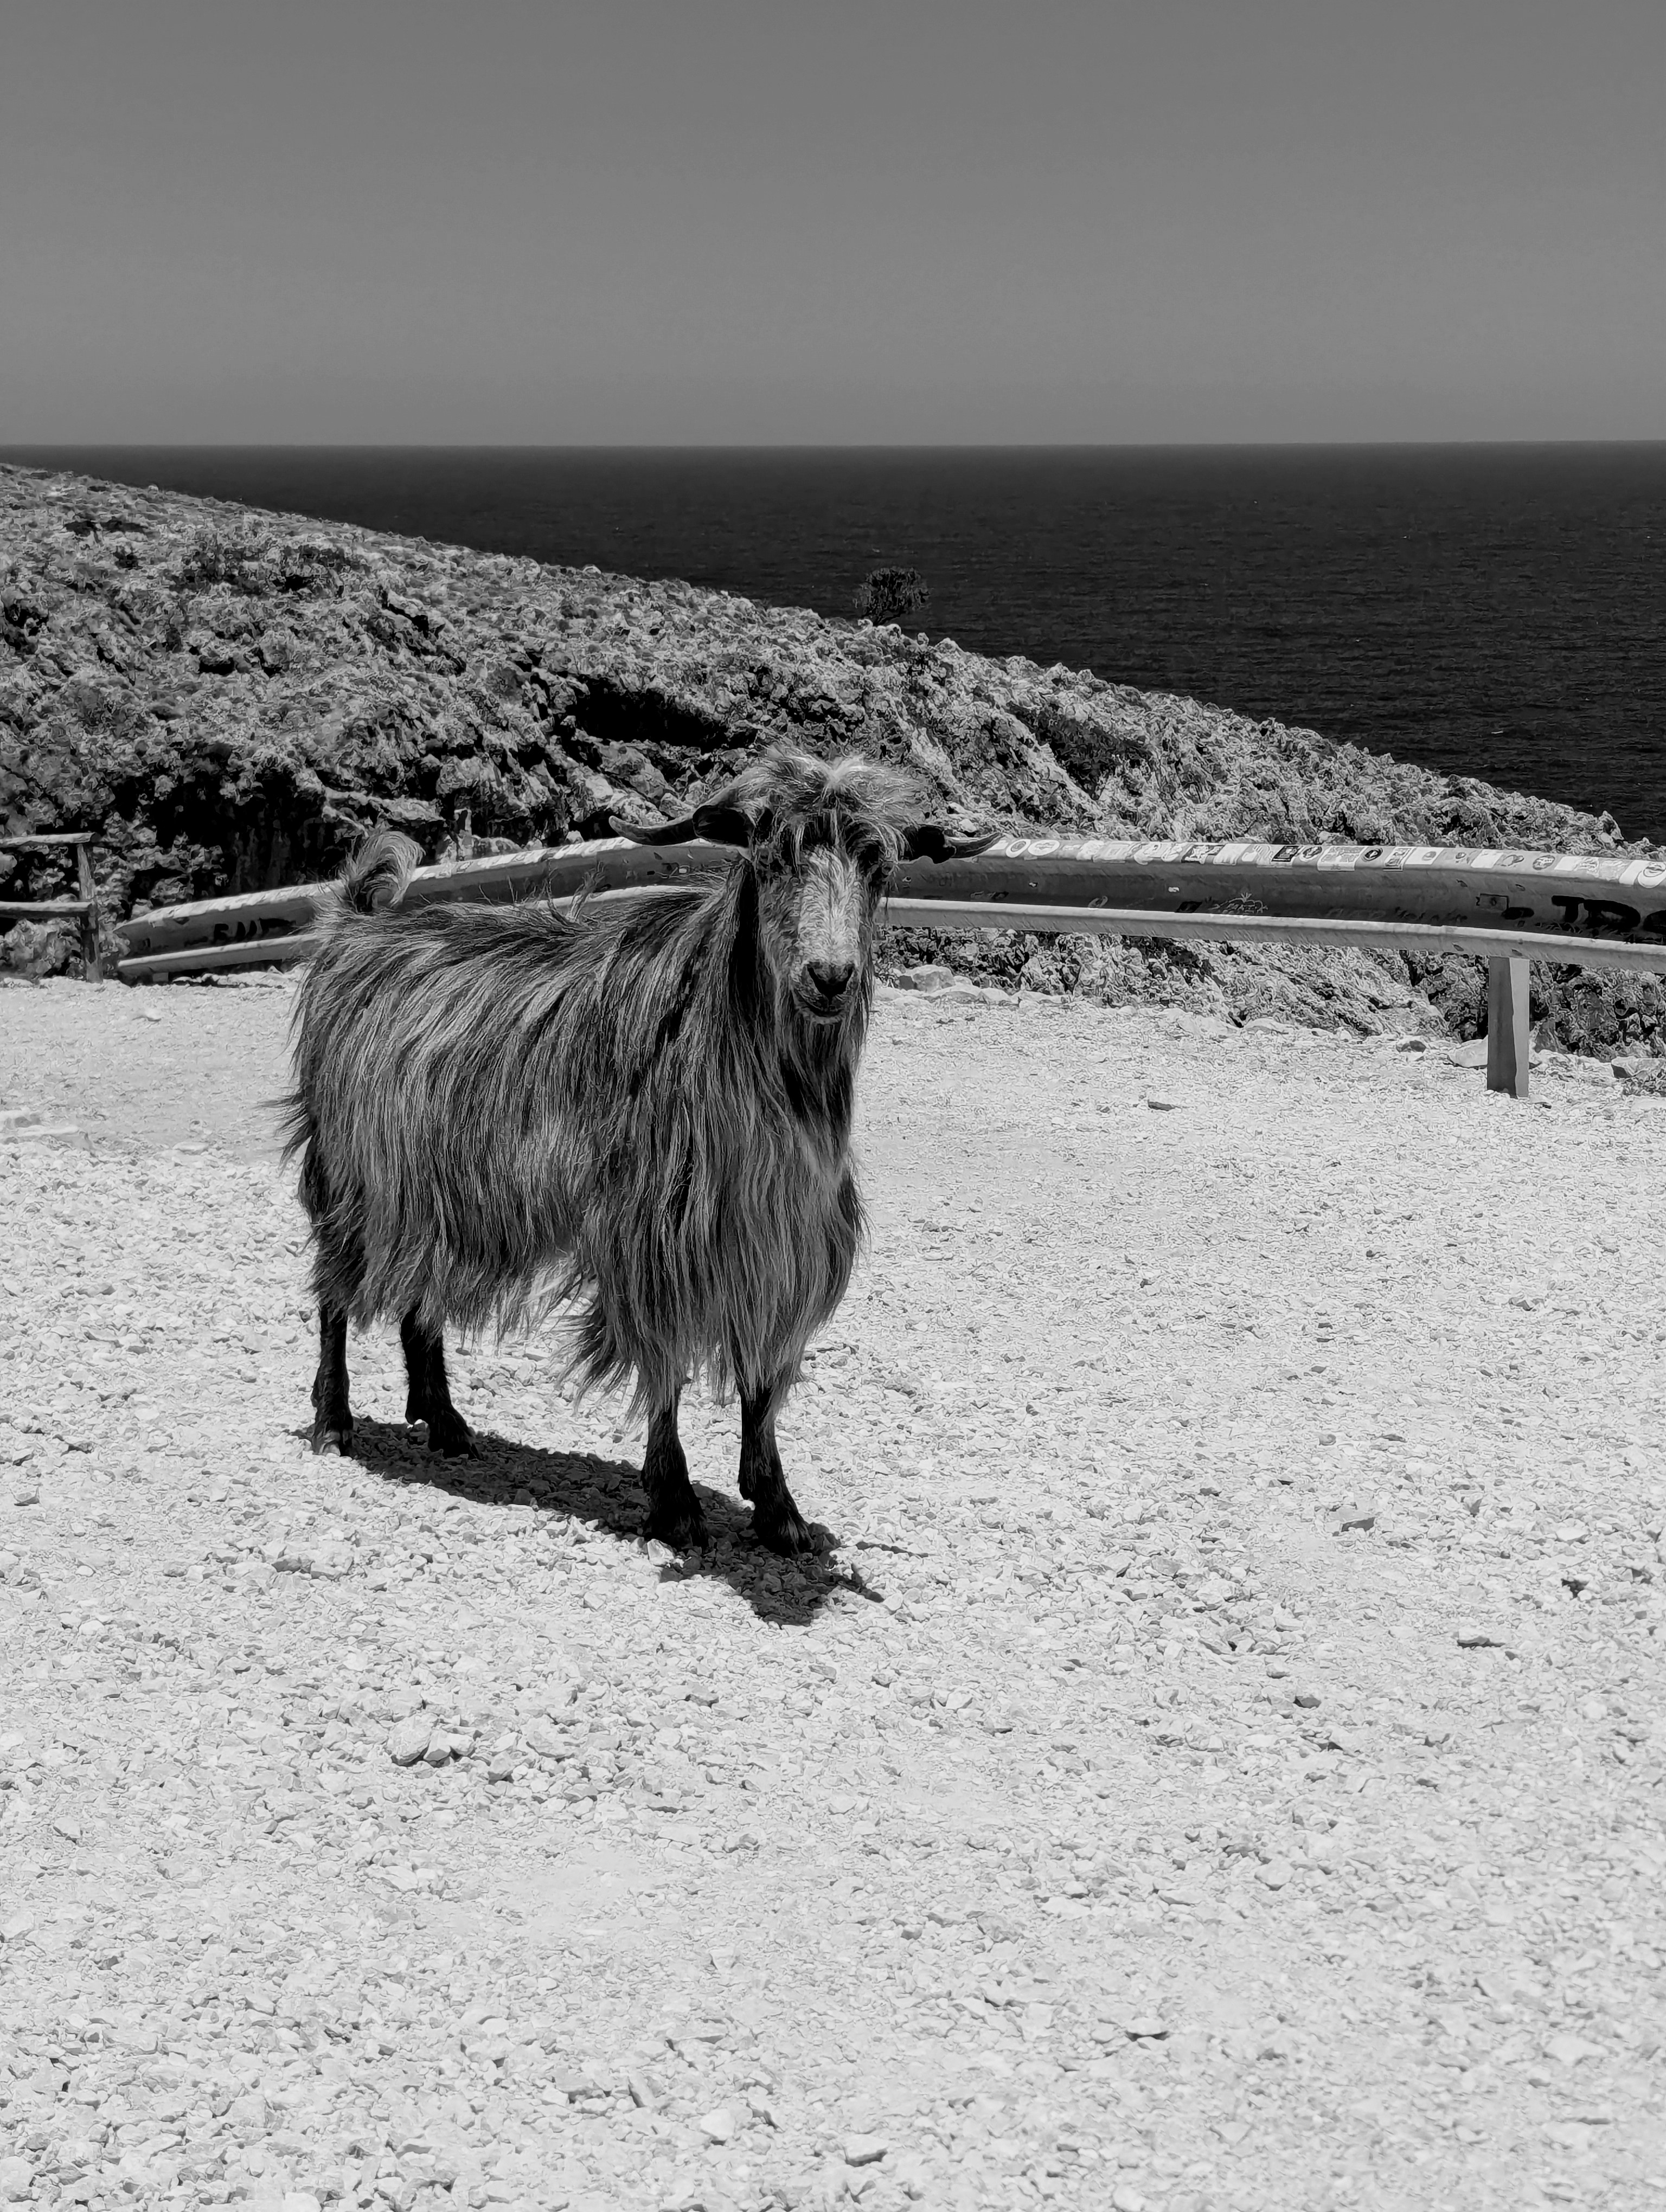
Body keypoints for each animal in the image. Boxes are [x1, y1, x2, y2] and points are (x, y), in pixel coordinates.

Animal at [282, 746, 993, 1554]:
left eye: (878, 865)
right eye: (772, 857)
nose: (831, 976)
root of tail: (351, 931)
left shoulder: (776, 1238)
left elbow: (764, 1376)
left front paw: (779, 1510)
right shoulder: (653, 1231)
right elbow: (666, 1364)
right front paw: (675, 1504)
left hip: (443, 1186)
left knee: (421, 1292)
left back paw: (447, 1422)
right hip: (348, 1170)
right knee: (334, 1291)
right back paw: (333, 1422)